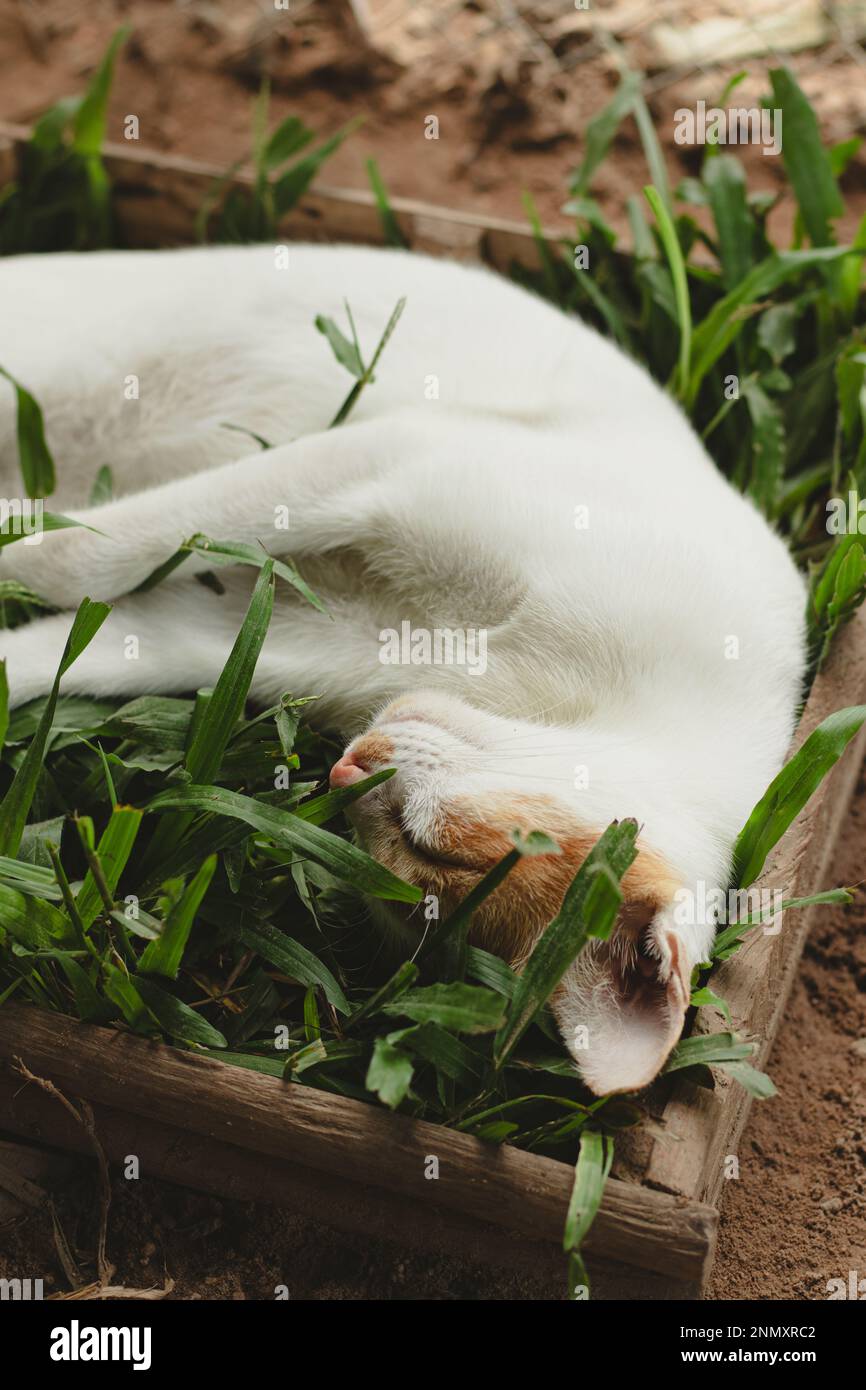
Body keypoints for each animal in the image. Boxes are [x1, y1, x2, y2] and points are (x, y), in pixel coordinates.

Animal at [0, 247, 806, 1095]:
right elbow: (76, 554)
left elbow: (87, 625)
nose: (349, 769)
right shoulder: (400, 455)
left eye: (409, 864)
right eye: (442, 843)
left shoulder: (259, 627)